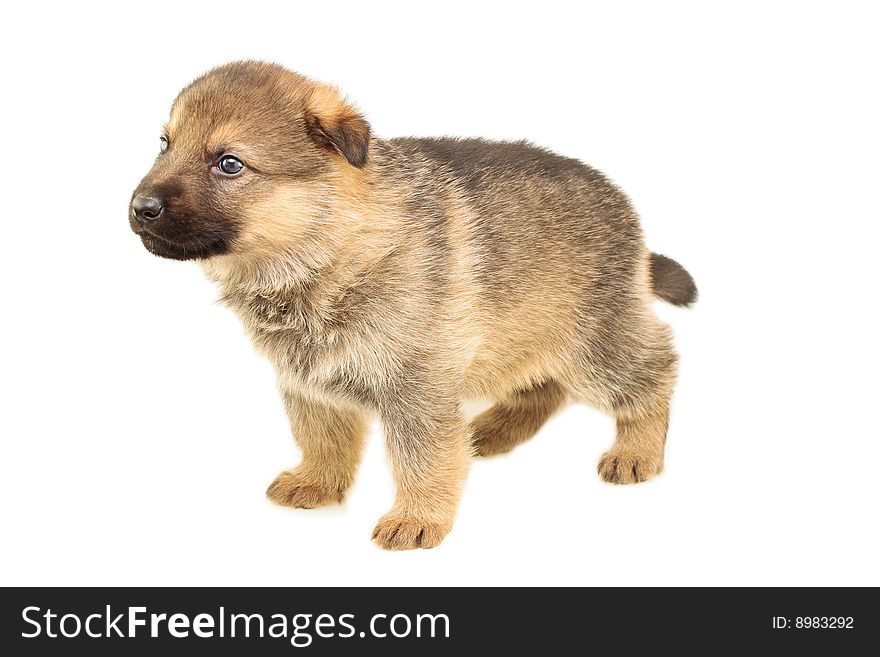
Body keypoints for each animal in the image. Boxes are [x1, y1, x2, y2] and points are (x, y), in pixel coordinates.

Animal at [129, 60, 696, 548]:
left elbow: (422, 457)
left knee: (656, 370)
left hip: (596, 339)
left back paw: (637, 451)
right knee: (543, 386)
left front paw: (418, 518)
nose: (139, 207)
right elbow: (321, 438)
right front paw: (318, 483)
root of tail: (625, 210)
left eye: (229, 164)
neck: (330, 248)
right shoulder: (310, 384)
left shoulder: (417, 386)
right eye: (165, 144)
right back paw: (493, 431)